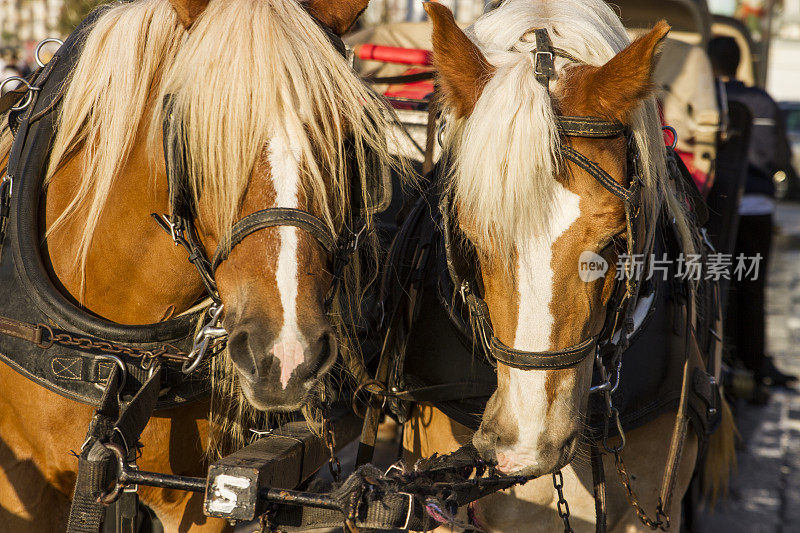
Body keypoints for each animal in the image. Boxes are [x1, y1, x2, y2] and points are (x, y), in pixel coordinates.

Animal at [0, 0, 398, 528]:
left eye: (348, 137)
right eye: (197, 133)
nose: (285, 356)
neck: (122, 362)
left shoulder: (201, 496)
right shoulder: (20, 485)